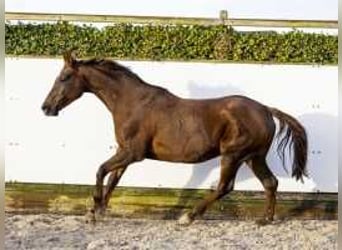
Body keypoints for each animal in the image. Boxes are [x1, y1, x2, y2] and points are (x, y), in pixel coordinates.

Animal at [42, 51, 308, 226]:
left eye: (64, 77)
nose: (46, 107)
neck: (131, 102)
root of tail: (265, 109)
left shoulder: (133, 153)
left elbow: (100, 171)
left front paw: (94, 210)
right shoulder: (124, 151)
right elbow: (112, 179)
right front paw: (96, 211)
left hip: (233, 155)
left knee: (225, 186)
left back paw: (187, 217)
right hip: (254, 157)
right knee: (270, 182)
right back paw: (265, 219)